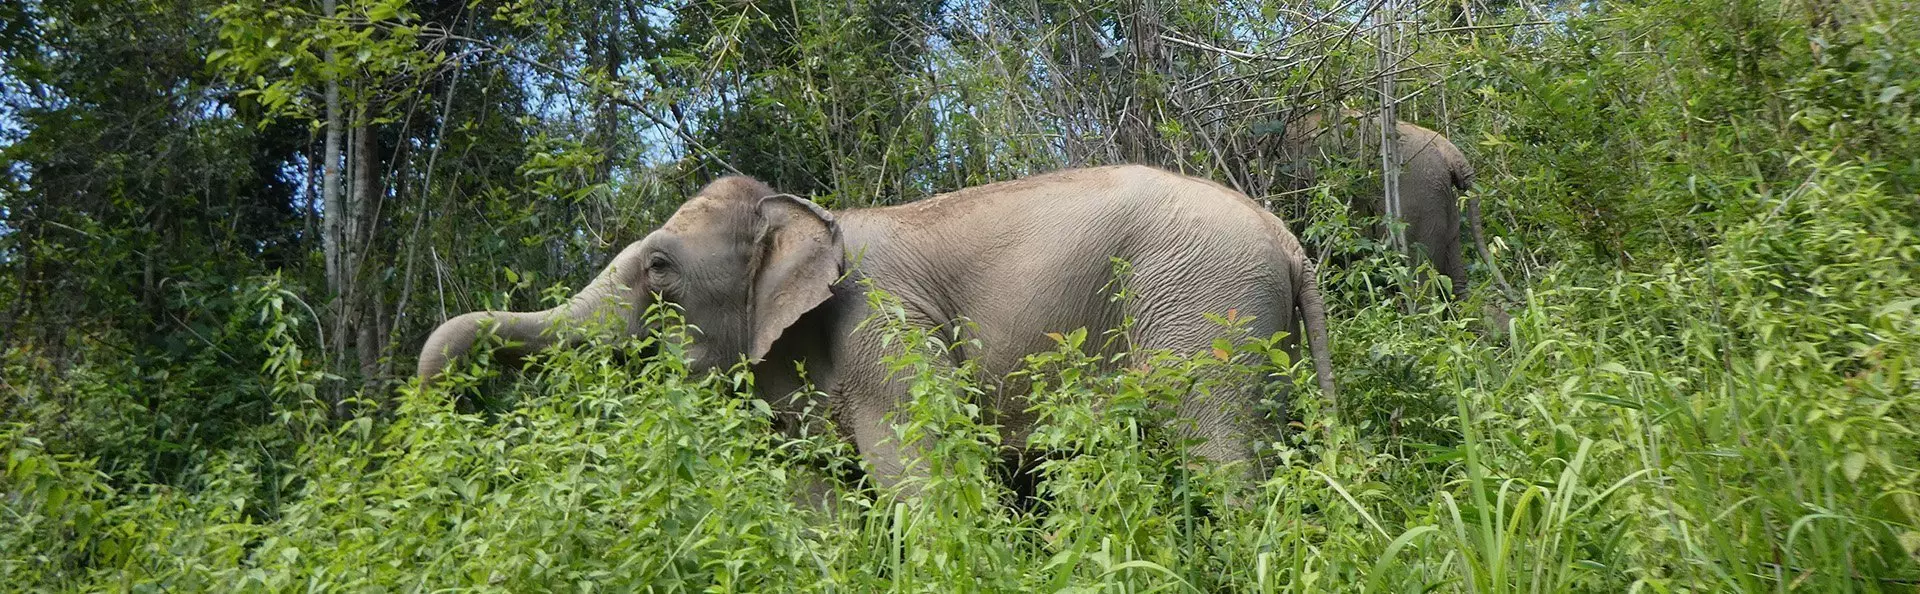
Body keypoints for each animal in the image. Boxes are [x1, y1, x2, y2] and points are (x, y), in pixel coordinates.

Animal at [417, 165, 1337, 493]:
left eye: (660, 269)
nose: (440, 407)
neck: (802, 211)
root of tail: (1288, 239)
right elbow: (817, 495)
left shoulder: (883, 329)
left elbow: (917, 478)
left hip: (1205, 310)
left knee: (1220, 453)